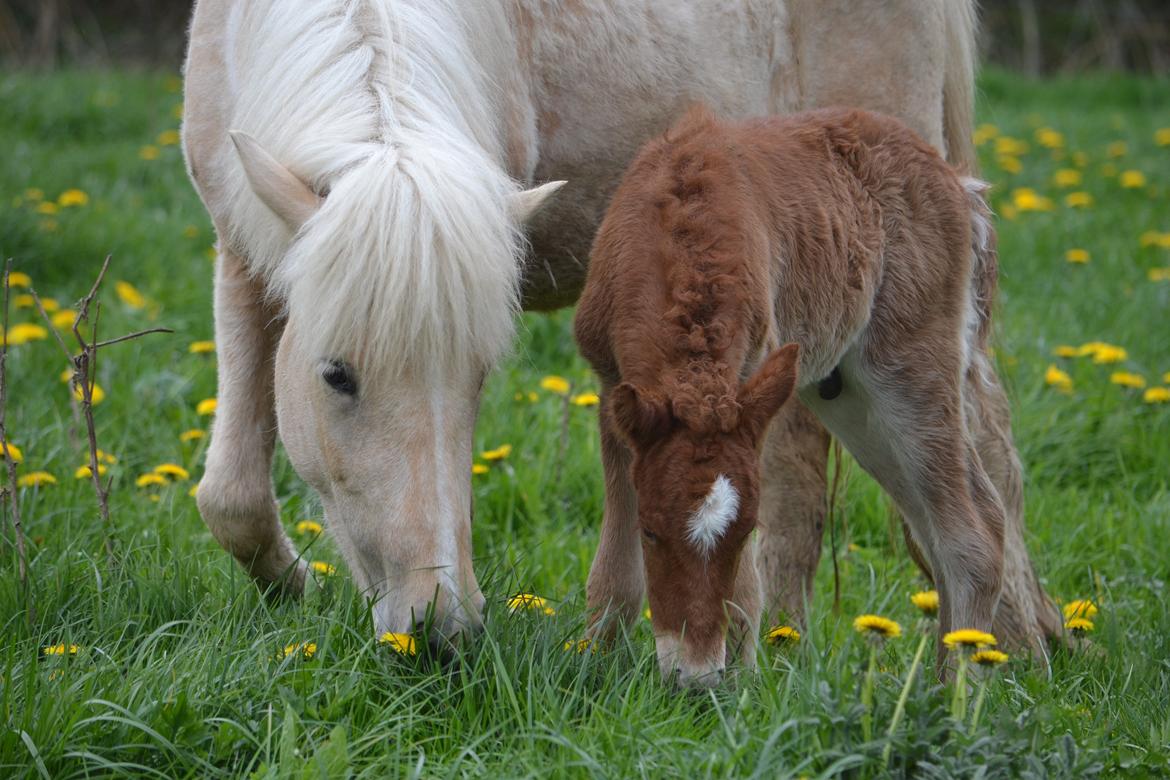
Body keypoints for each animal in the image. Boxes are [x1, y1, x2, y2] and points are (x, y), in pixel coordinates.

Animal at [182, 0, 987, 645]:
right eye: (336, 375)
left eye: (478, 379)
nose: (440, 630)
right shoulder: (242, 256)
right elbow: (231, 499)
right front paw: (297, 589)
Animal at [570, 107, 1067, 687]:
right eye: (650, 533)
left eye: (744, 533)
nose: (695, 678)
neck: (679, 237)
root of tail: (959, 183)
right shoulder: (612, 385)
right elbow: (615, 570)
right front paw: (596, 663)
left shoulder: (750, 381)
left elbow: (746, 585)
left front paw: (736, 684)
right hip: (850, 397)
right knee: (944, 524)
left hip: (912, 368)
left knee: (972, 530)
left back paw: (953, 694)